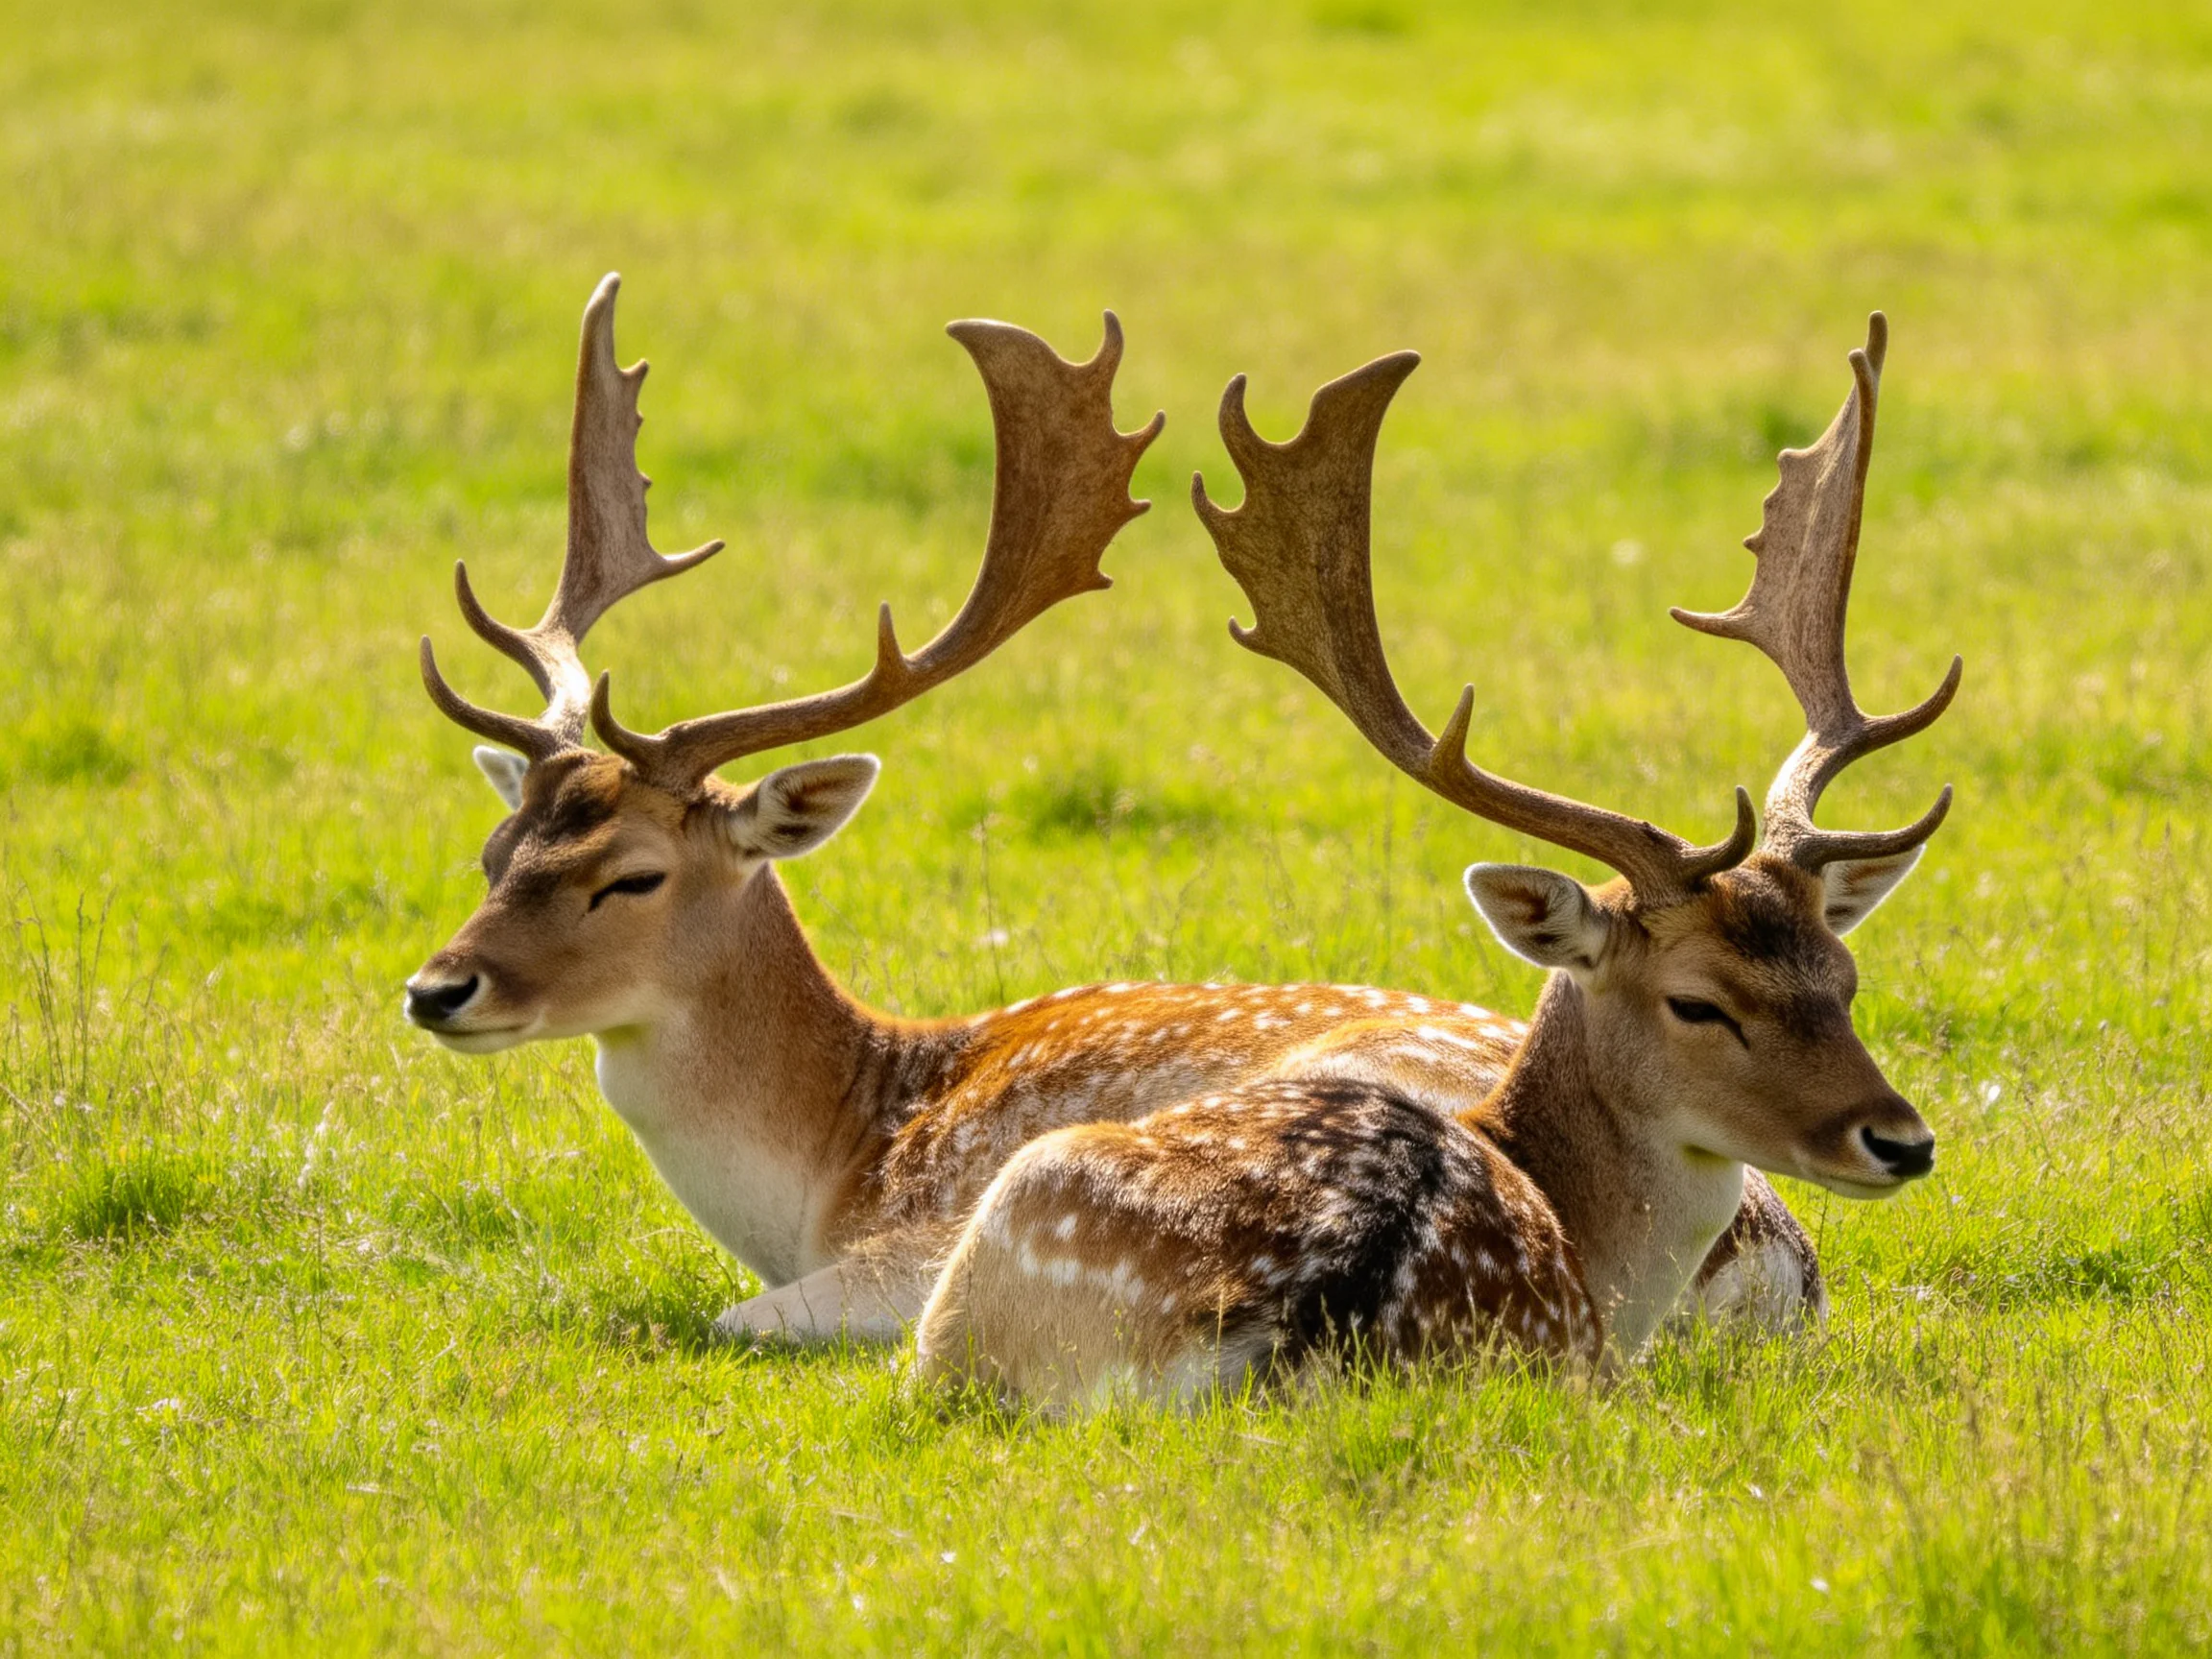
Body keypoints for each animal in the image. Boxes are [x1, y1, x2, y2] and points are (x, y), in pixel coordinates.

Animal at [402, 275, 1833, 1346]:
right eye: (496, 848)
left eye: (631, 874)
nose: (435, 990)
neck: (844, 1150)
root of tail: (1775, 1263)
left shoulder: (925, 1237)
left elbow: (734, 1319)